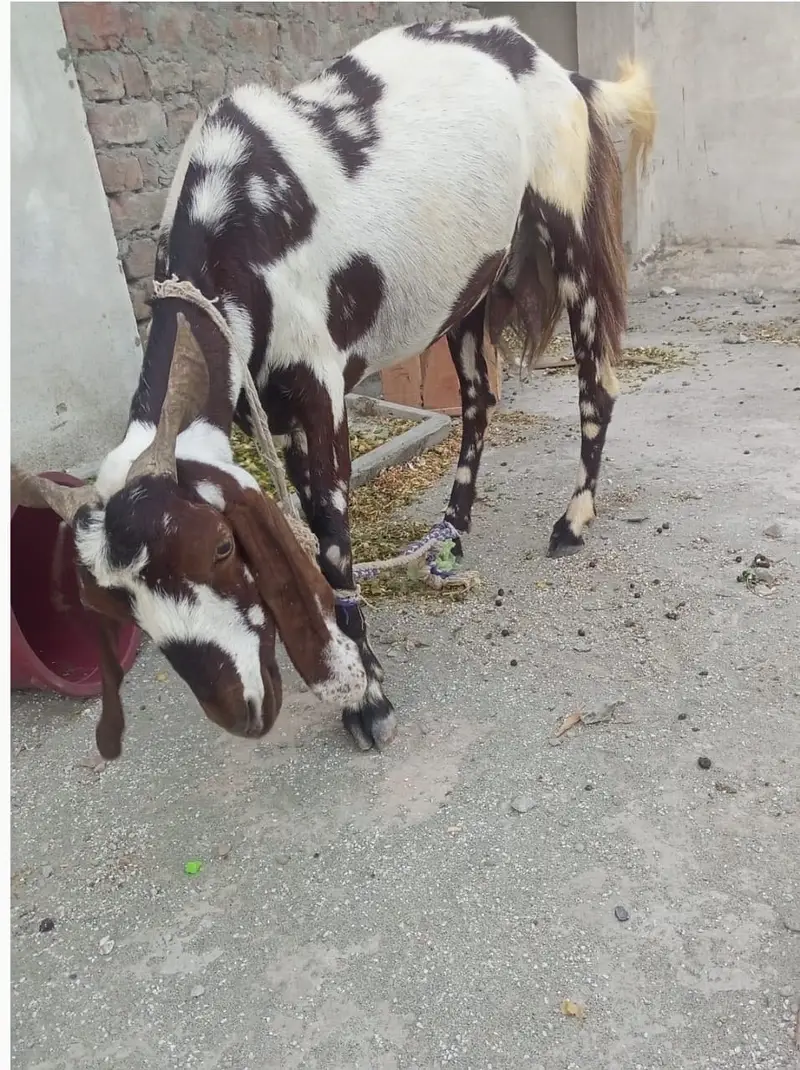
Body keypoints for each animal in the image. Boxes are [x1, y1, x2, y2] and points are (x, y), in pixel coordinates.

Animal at [13, 17, 655, 758]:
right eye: (121, 605)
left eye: (222, 548)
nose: (242, 711)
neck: (239, 220)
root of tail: (550, 63)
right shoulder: (253, 402)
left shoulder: (317, 389)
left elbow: (329, 535)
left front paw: (368, 701)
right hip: (473, 286)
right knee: (478, 397)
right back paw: (451, 534)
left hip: (567, 221)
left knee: (597, 377)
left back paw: (573, 521)